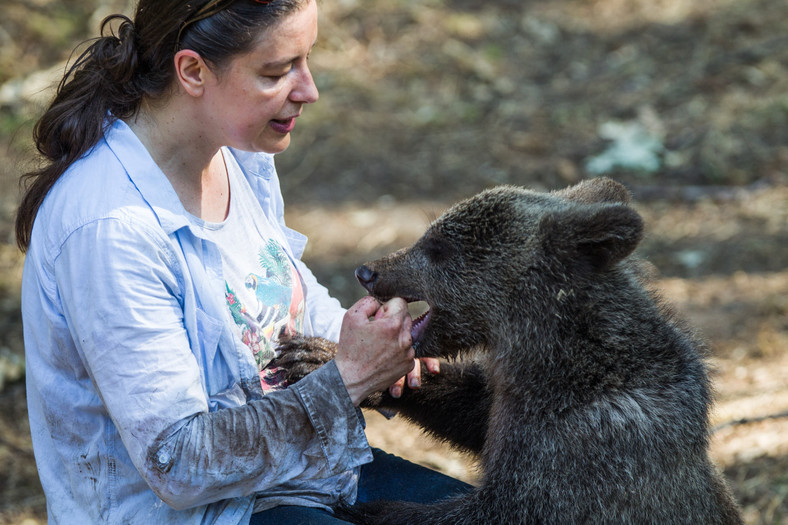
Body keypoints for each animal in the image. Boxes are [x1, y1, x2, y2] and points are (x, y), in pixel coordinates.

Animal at [274, 178, 740, 520]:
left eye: (439, 248)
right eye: (430, 235)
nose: (367, 271)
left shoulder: (582, 452)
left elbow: (498, 510)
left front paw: (368, 510)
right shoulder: (511, 407)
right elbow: (472, 407)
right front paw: (318, 358)